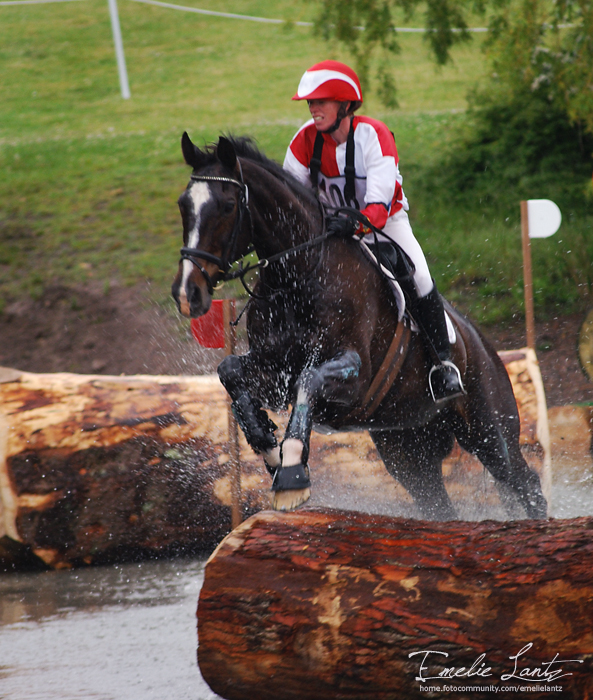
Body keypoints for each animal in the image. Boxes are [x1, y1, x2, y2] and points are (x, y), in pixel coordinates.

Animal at [170, 134, 544, 524]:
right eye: (184, 205)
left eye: (228, 206)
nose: (187, 293)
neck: (299, 276)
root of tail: (485, 346)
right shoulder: (274, 370)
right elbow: (230, 371)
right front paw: (269, 448)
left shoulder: (355, 378)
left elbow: (309, 379)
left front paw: (292, 471)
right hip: (408, 453)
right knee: (439, 505)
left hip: (489, 432)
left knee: (524, 481)